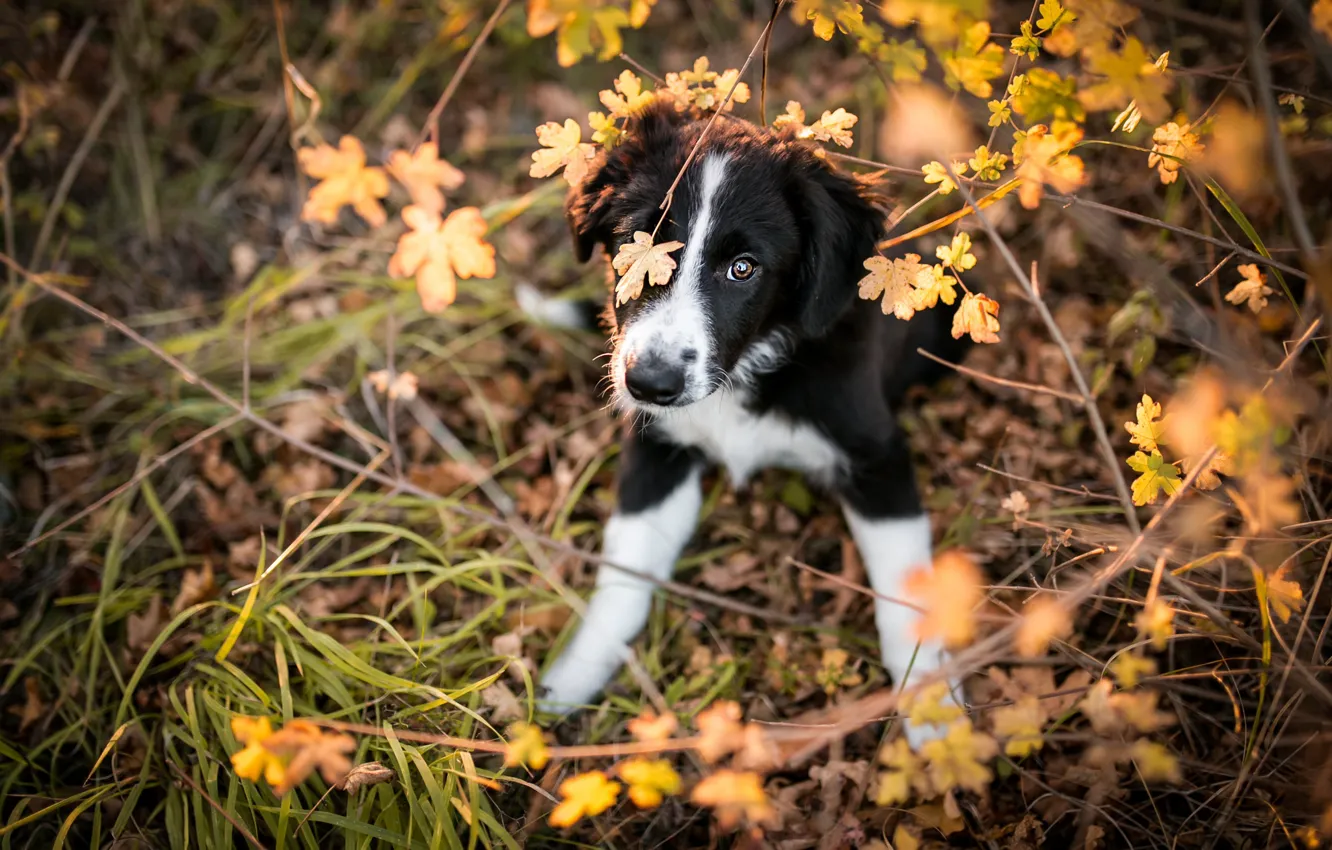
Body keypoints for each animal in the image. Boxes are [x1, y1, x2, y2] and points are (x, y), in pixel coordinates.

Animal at [530, 94, 969, 746]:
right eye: (636, 242)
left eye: (743, 268)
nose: (649, 384)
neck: (740, 376)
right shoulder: (658, 451)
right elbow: (624, 574)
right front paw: (572, 678)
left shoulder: (876, 456)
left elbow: (905, 590)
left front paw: (935, 716)